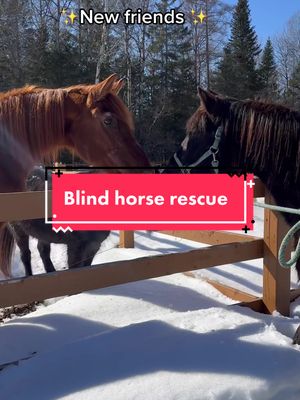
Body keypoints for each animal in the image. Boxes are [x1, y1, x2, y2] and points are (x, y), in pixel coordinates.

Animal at [0, 74, 150, 276]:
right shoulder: (76, 247)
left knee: (42, 250)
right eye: (108, 120)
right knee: (26, 255)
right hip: (19, 230)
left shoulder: (92, 247)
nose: (145, 170)